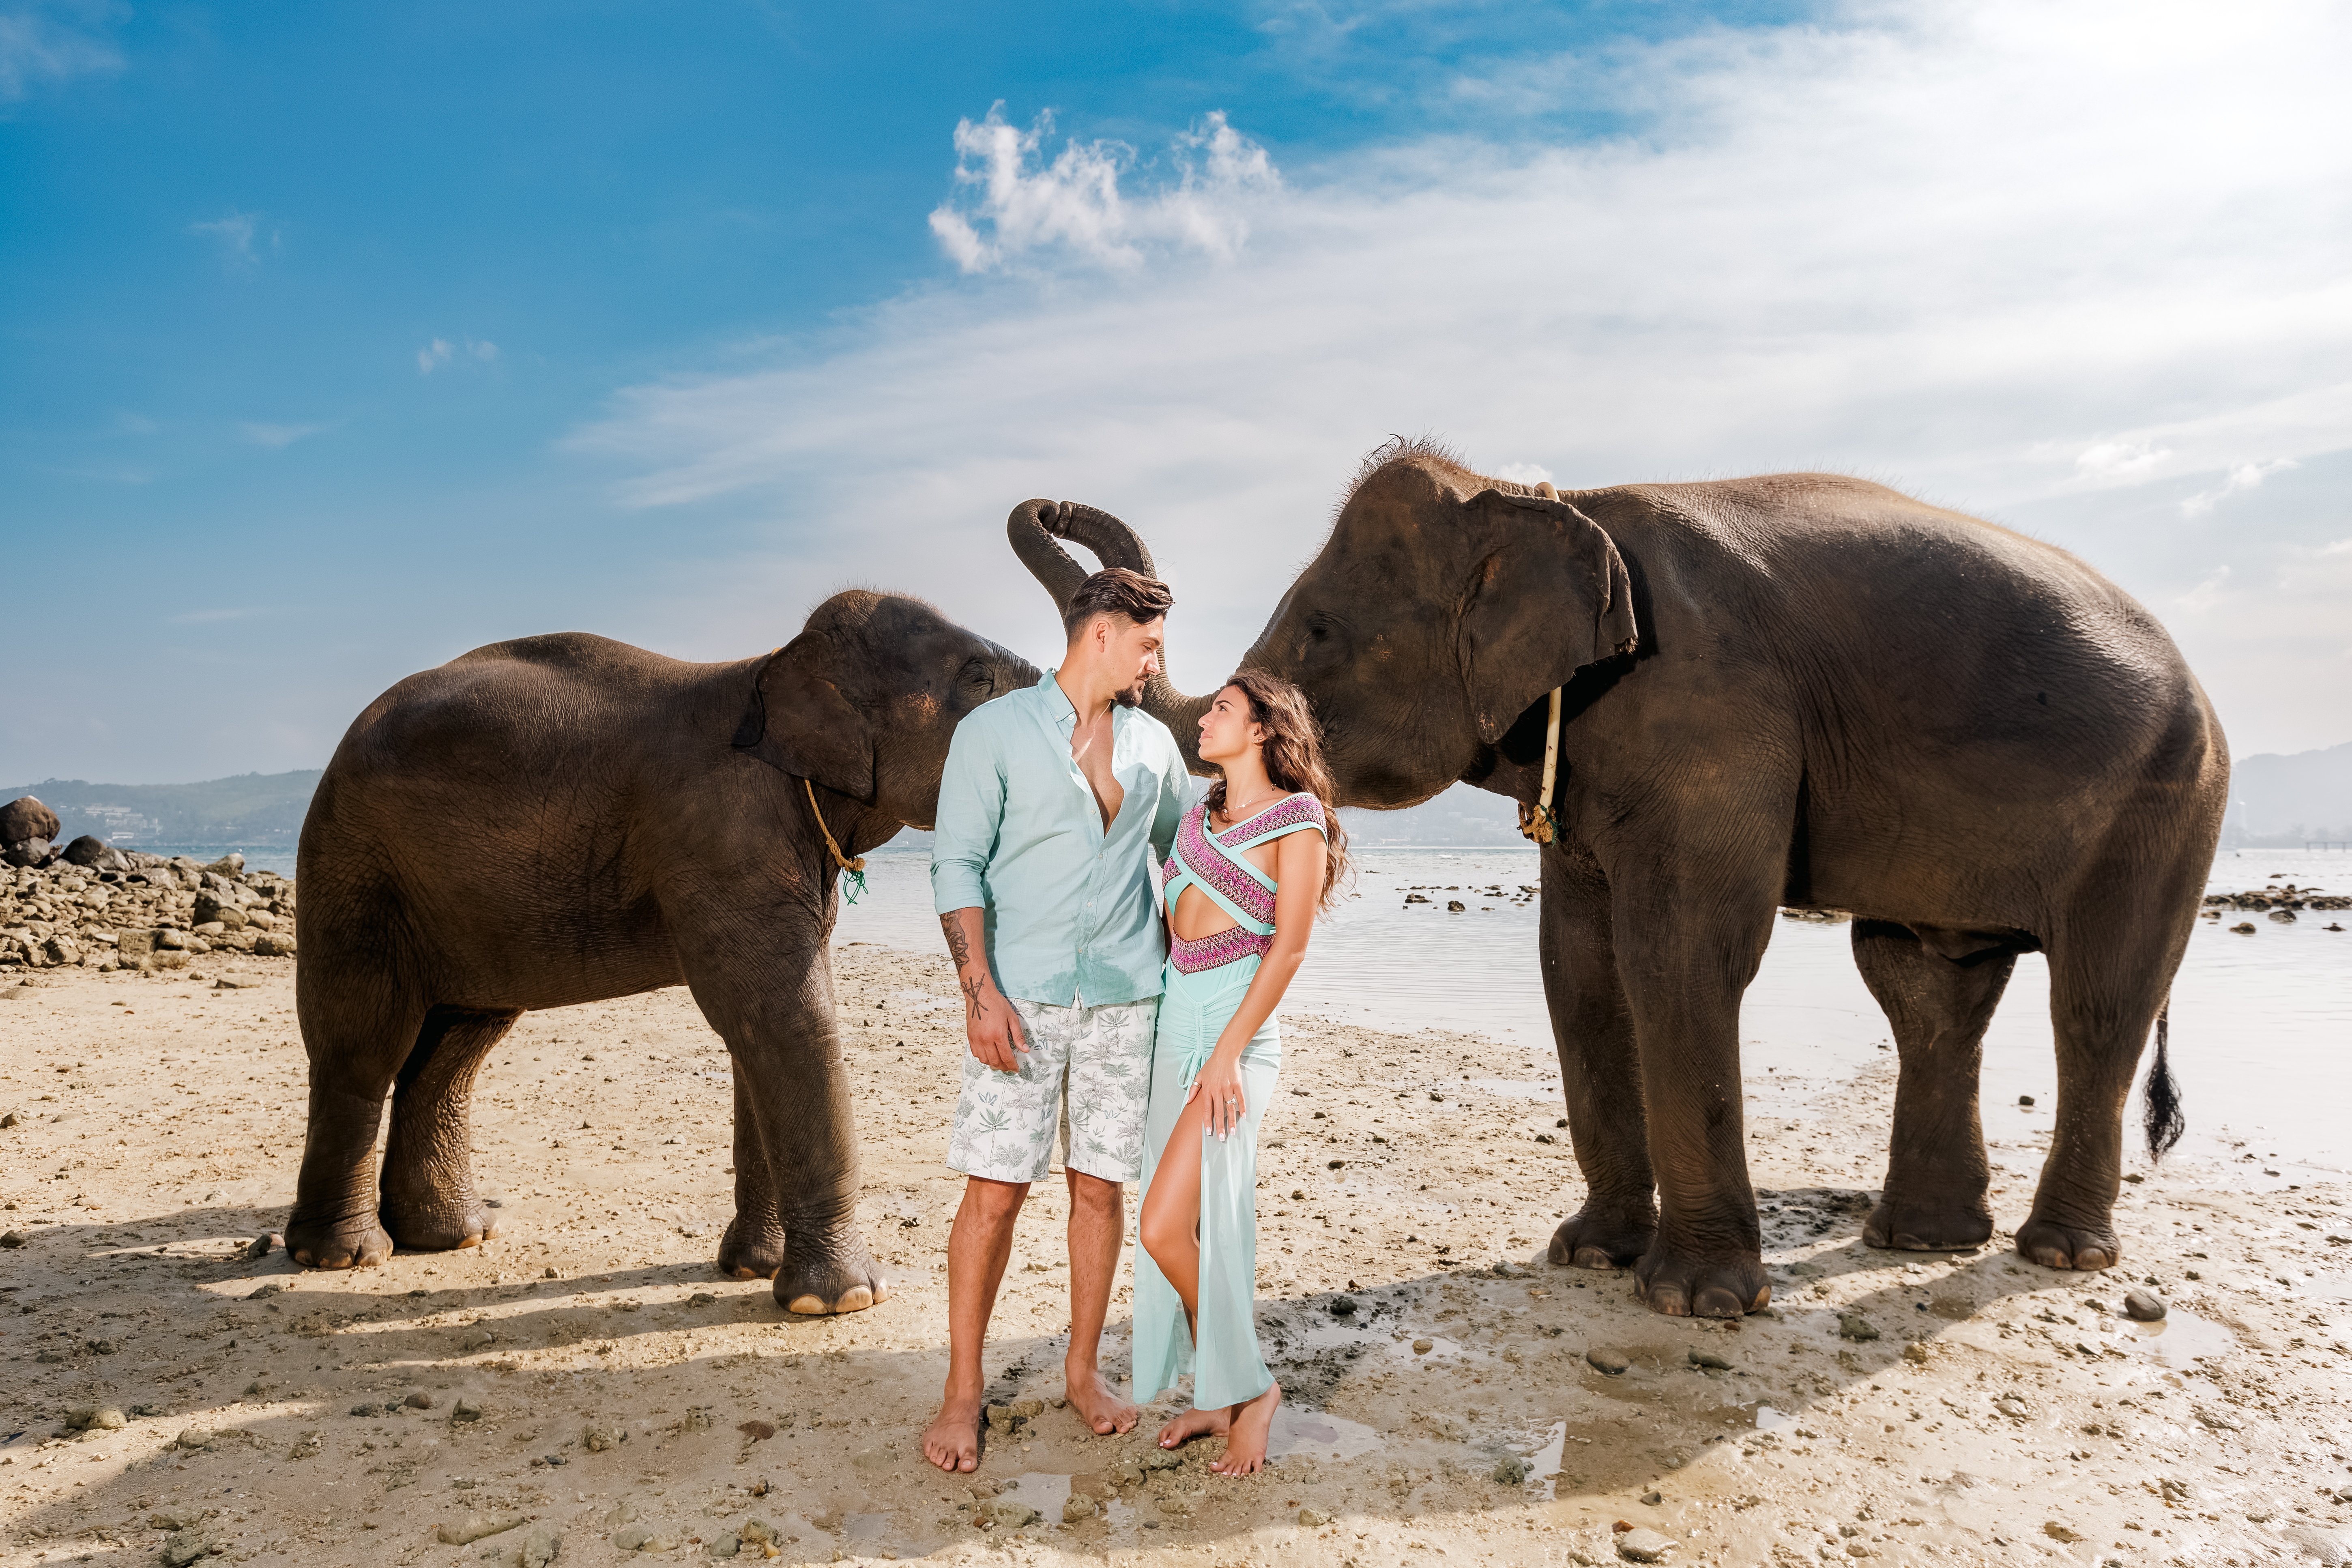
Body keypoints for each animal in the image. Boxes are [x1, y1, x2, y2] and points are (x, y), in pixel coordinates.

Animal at [287, 591, 1039, 1315]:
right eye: (978, 679)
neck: (773, 666)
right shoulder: (723, 838)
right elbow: (785, 1022)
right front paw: (841, 1301)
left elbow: (759, 1034)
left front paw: (755, 1268)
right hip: (354, 871)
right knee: (364, 1044)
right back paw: (344, 1256)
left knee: (453, 1046)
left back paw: (451, 1235)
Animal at [1006, 444, 2227, 1318]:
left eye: (1317, 628)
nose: (1056, 504)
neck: (1546, 500)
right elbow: (1578, 964)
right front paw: (1591, 1256)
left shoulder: (1712, 716)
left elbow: (1679, 954)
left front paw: (1693, 1302)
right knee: (1924, 986)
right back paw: (1922, 1237)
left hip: (2167, 803)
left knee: (2095, 1001)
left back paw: (2054, 1253)